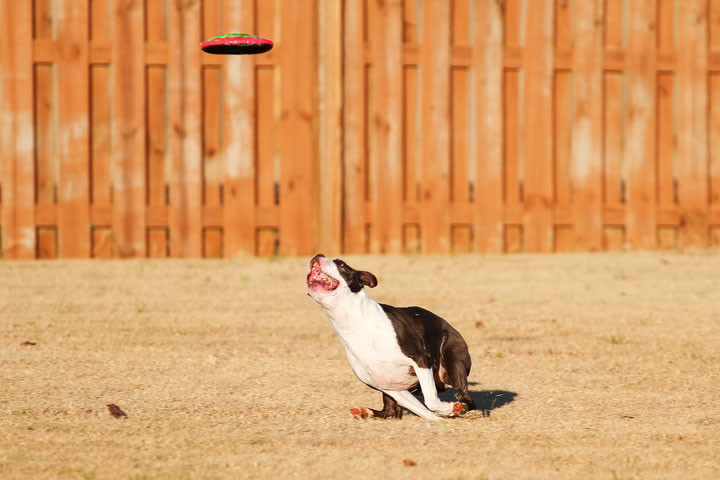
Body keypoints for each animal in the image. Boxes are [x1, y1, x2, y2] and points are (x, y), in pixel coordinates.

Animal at [306, 255, 476, 420]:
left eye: (341, 264)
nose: (318, 255)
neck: (354, 323)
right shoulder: (390, 387)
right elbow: (426, 411)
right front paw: (446, 412)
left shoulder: (421, 360)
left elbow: (430, 402)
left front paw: (451, 409)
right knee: (392, 412)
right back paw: (365, 412)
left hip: (452, 360)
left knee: (467, 399)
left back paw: (460, 406)